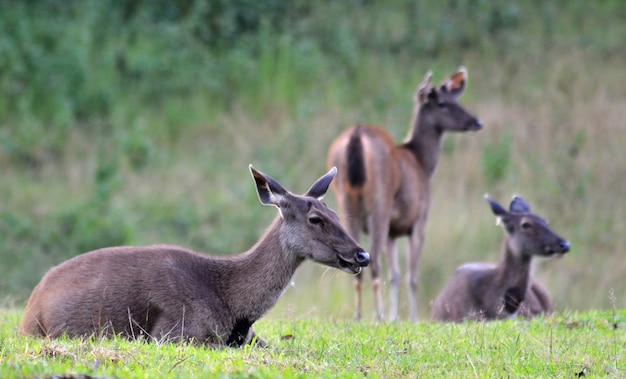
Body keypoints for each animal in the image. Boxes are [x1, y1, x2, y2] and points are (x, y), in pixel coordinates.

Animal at [19, 165, 368, 348]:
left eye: (335, 212)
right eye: (315, 219)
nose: (362, 254)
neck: (234, 305)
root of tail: (29, 308)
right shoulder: (173, 332)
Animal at [326, 67, 482, 322]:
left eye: (456, 100)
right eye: (442, 103)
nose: (476, 121)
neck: (422, 163)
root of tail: (356, 136)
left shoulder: (393, 231)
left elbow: (395, 274)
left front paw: (394, 316)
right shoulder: (418, 221)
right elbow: (412, 275)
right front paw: (411, 317)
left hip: (345, 201)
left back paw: (359, 315)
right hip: (379, 202)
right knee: (373, 258)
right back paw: (377, 315)